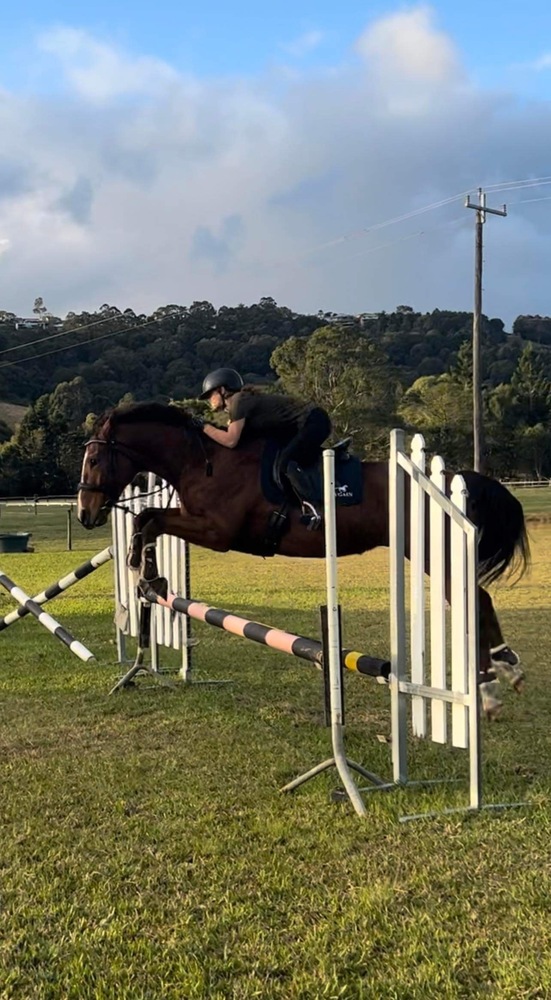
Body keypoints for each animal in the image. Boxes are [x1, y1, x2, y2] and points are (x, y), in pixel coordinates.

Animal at [77, 402, 530, 718]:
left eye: (94, 460)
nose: (85, 514)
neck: (202, 461)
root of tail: (452, 480)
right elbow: (148, 520)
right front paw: (147, 576)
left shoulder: (217, 531)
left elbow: (150, 519)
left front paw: (141, 566)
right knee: (477, 600)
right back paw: (508, 668)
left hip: (433, 553)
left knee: (474, 600)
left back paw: (489, 690)